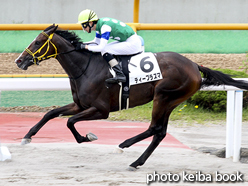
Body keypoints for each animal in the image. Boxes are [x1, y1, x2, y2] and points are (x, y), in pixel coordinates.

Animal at [15, 24, 248, 169]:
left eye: (38, 42)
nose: (19, 61)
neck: (86, 68)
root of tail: (194, 65)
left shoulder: (101, 110)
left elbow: (70, 122)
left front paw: (87, 137)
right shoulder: (79, 105)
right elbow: (51, 114)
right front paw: (27, 137)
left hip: (163, 97)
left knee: (154, 128)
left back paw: (124, 145)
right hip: (171, 101)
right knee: (160, 132)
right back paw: (136, 162)